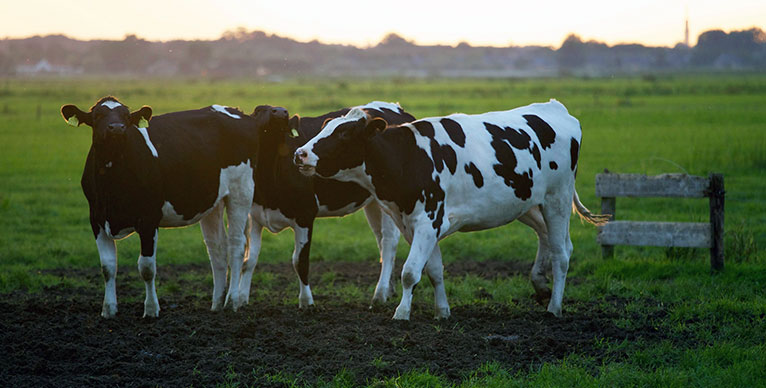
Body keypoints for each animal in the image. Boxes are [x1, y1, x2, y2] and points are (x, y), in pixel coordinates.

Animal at [61, 97, 290, 318]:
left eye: (126, 116)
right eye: (98, 115)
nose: (117, 128)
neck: (113, 181)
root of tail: (238, 112)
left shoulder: (148, 219)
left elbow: (146, 267)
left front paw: (151, 309)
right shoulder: (97, 219)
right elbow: (107, 267)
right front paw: (108, 310)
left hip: (240, 191)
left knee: (236, 245)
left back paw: (231, 301)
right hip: (213, 201)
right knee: (217, 248)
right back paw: (216, 303)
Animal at [240, 101, 416, 308]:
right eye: (258, 110)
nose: (281, 112)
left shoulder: (305, 214)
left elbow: (300, 261)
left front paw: (306, 302)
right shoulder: (255, 215)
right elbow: (249, 260)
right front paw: (239, 299)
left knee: (388, 243)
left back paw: (380, 294)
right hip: (374, 203)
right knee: (380, 240)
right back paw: (389, 289)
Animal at [296, 101, 612, 322]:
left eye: (344, 133)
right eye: (325, 127)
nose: (300, 153)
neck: (409, 158)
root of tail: (555, 108)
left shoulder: (428, 220)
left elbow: (410, 272)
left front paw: (401, 313)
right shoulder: (415, 224)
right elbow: (433, 270)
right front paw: (442, 311)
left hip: (557, 199)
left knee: (562, 254)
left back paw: (554, 307)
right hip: (526, 203)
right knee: (548, 237)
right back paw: (540, 284)